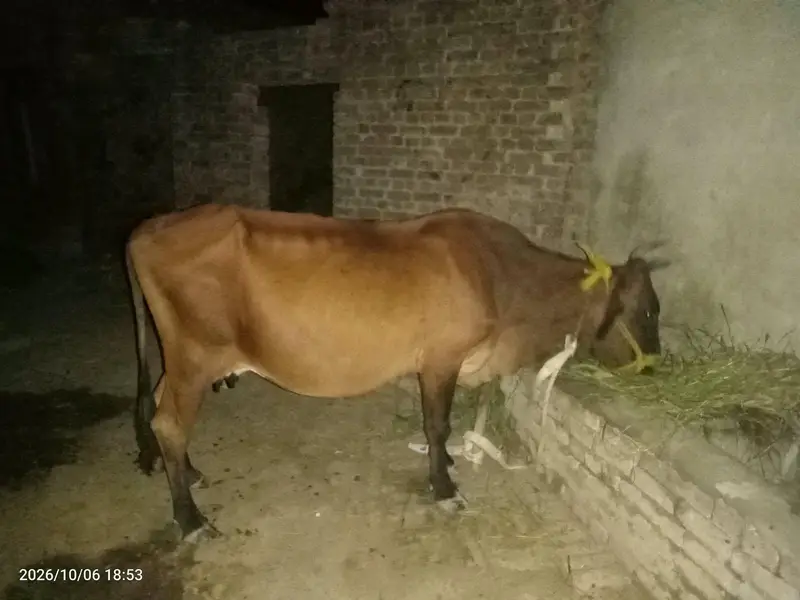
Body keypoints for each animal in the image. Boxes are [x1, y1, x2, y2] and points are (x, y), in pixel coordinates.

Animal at [125, 203, 665, 541]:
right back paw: (191, 521)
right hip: (196, 355)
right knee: (168, 423)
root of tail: (150, 227)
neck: (504, 280)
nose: (655, 368)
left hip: (182, 359)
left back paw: (191, 473)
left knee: (160, 409)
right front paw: (444, 487)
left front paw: (448, 464)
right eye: (649, 309)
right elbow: (437, 424)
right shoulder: (442, 358)